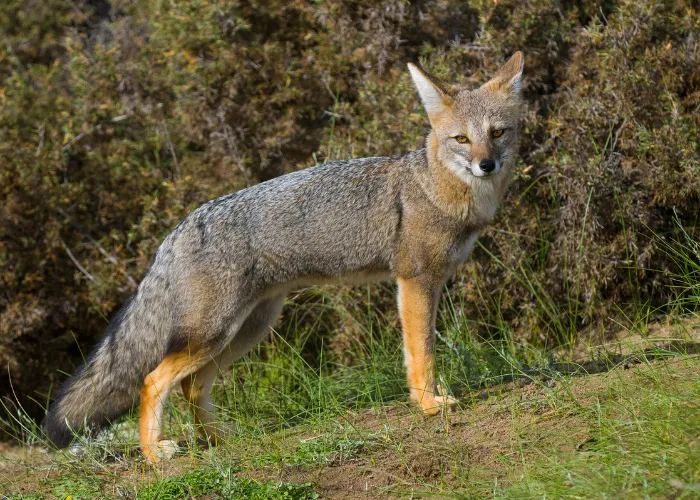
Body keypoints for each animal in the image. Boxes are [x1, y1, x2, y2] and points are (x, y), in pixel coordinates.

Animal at [43, 50, 524, 460]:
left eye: (497, 133)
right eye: (461, 139)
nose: (486, 165)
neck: (437, 189)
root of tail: (178, 230)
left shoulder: (430, 282)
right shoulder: (415, 281)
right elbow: (421, 353)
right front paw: (428, 405)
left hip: (247, 330)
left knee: (192, 387)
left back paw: (217, 440)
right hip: (215, 332)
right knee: (151, 380)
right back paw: (153, 454)